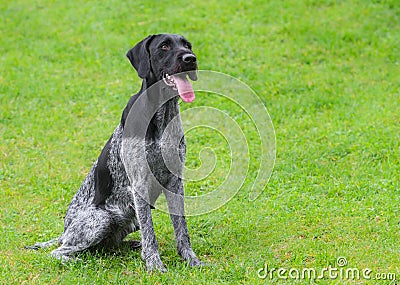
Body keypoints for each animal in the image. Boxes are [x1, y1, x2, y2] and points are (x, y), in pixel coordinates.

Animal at [27, 33, 203, 270]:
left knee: (108, 245)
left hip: (130, 219)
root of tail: (64, 231)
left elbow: (181, 228)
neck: (160, 114)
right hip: (101, 220)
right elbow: (151, 234)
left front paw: (190, 259)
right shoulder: (139, 185)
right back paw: (80, 262)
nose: (190, 59)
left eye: (187, 45)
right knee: (59, 252)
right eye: (164, 46)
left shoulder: (175, 181)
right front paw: (155, 265)